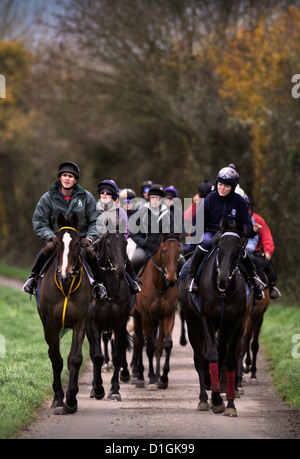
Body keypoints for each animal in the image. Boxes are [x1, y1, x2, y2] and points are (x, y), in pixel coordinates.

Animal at [36, 214, 90, 416]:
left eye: (77, 243)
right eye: (57, 242)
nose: (65, 274)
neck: (66, 286)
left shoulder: (81, 321)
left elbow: (75, 358)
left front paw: (71, 400)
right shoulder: (50, 324)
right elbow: (57, 360)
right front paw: (59, 400)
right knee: (53, 355)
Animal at [84, 232, 131, 400]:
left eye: (125, 243)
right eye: (109, 244)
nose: (121, 272)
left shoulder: (120, 322)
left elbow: (117, 355)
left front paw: (115, 390)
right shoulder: (93, 322)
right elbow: (97, 357)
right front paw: (98, 389)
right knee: (93, 354)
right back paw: (93, 388)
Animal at [133, 235, 180, 390]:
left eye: (179, 251)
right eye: (164, 251)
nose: (171, 279)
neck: (159, 285)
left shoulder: (168, 315)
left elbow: (166, 344)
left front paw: (163, 378)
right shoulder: (146, 317)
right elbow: (149, 347)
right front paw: (152, 379)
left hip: (159, 319)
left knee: (158, 346)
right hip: (137, 315)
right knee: (139, 342)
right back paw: (140, 377)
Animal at [179, 217, 252, 418]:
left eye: (239, 250)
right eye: (219, 247)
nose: (223, 279)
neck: (223, 293)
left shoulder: (235, 324)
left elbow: (228, 359)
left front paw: (229, 404)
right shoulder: (207, 320)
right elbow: (211, 355)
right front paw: (217, 399)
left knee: (221, 354)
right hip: (192, 322)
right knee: (199, 358)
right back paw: (204, 399)